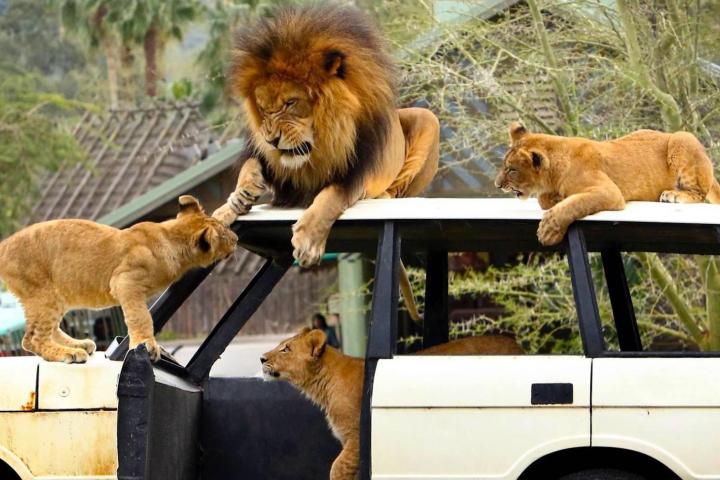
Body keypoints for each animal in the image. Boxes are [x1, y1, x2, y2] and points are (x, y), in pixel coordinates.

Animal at [211, 3, 442, 268]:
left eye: (290, 102)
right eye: (262, 108)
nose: (271, 140)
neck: (323, 143)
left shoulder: (355, 174)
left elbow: (330, 197)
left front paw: (309, 240)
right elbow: (250, 165)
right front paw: (234, 202)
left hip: (428, 118)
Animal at [262, 328, 520, 480]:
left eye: (286, 349)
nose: (262, 358)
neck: (323, 384)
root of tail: (516, 345)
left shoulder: (356, 436)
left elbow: (337, 467)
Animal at [496, 122, 720, 246]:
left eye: (511, 169)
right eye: (504, 166)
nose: (497, 185)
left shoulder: (610, 192)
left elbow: (575, 204)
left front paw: (548, 231)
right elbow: (544, 200)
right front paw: (554, 199)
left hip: (682, 138)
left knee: (699, 193)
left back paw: (673, 195)